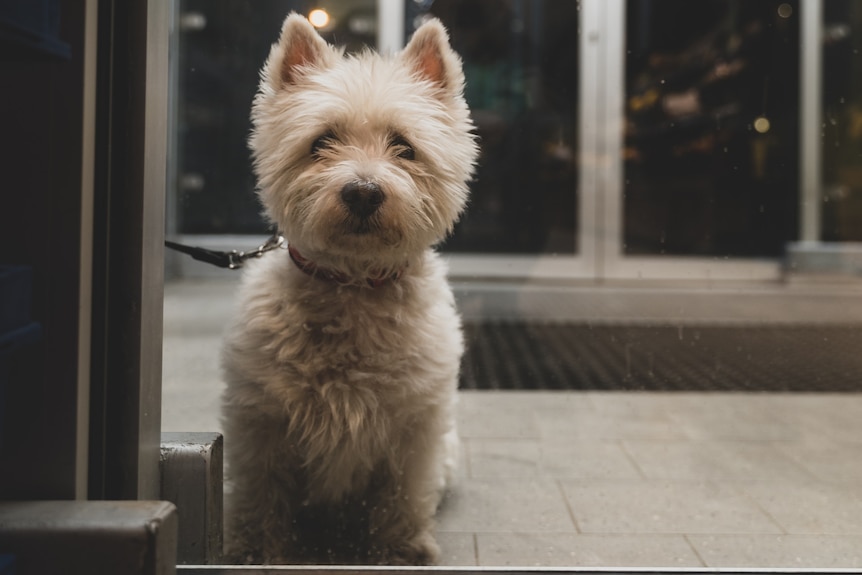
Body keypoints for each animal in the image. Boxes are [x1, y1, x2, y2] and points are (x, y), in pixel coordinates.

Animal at [221, 13, 480, 568]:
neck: (353, 287)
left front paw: (400, 549)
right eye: (321, 141)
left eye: (404, 146)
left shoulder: (413, 427)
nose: (362, 193)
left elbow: (402, 492)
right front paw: (256, 550)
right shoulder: (260, 421)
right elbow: (260, 492)